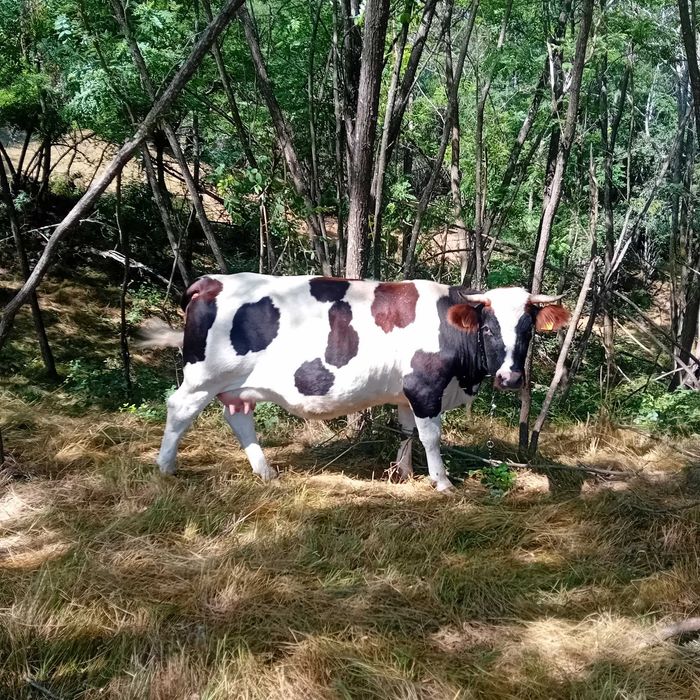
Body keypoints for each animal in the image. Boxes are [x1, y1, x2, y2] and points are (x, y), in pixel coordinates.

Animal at [140, 274, 570, 491]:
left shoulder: (406, 393)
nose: (510, 377)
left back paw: (266, 472)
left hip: (237, 386)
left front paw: (404, 474)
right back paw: (165, 467)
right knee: (179, 408)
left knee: (239, 417)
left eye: (527, 329)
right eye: (489, 328)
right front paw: (442, 482)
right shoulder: (426, 387)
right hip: (203, 376)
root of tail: (211, 281)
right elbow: (431, 437)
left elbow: (406, 432)